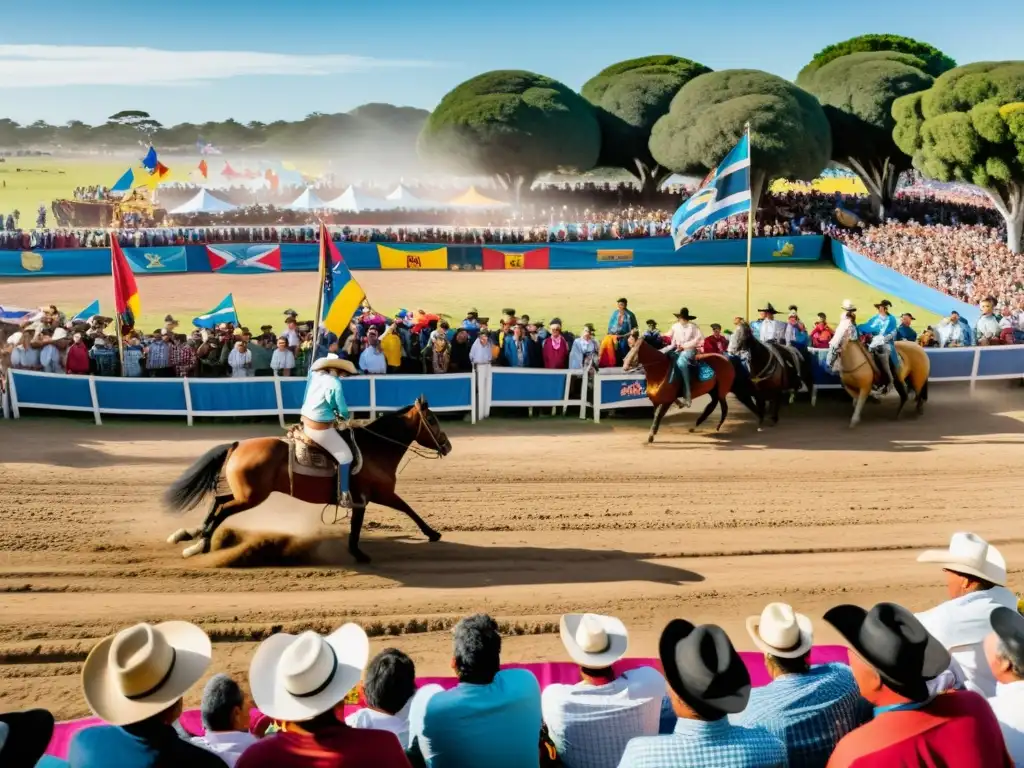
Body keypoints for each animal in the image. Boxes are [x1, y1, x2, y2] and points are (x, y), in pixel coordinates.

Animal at [164, 397, 452, 565]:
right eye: (432, 419)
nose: (447, 446)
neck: (374, 447)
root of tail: (237, 445)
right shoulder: (373, 496)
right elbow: (403, 510)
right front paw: (431, 533)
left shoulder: (371, 497)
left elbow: (400, 511)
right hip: (252, 497)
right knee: (223, 509)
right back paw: (200, 544)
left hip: (244, 493)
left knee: (217, 500)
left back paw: (190, 533)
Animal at [618, 337, 757, 442]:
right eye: (629, 347)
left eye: (635, 351)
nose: (624, 365)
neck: (661, 370)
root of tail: (727, 359)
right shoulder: (656, 400)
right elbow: (656, 414)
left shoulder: (667, 400)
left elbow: (658, 415)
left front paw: (651, 435)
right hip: (713, 390)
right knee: (712, 405)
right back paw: (694, 426)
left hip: (721, 389)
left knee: (724, 407)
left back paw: (716, 427)